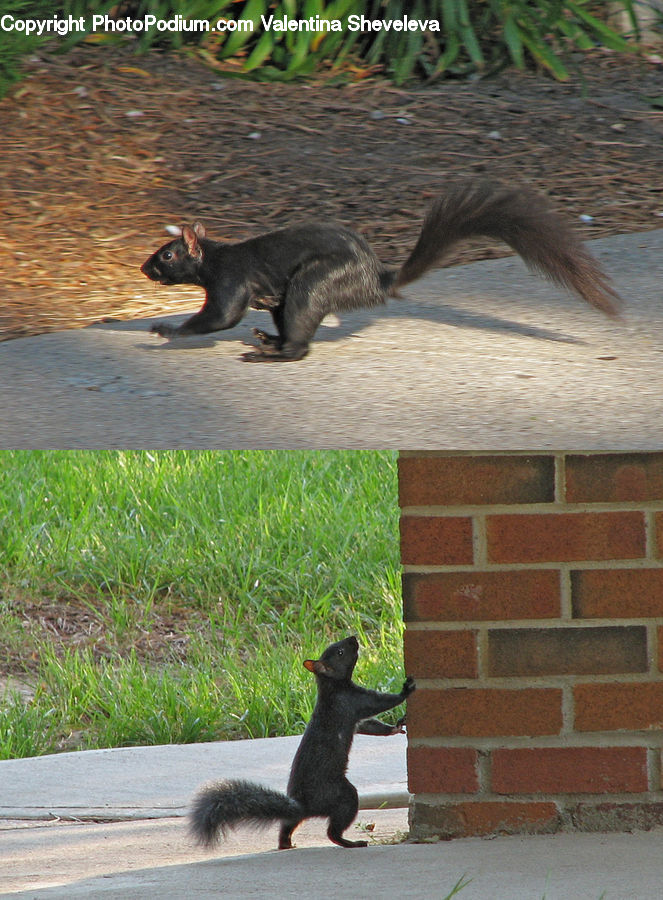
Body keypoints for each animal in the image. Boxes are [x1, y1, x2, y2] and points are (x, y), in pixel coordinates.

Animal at [141, 179, 622, 362]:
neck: (215, 257)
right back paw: (270, 339)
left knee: (301, 340)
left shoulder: (231, 280)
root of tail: (375, 279)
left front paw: (168, 330)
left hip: (316, 282)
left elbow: (221, 316)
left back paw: (275, 352)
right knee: (287, 321)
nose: (144, 268)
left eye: (167, 256)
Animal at [190, 635, 415, 850]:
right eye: (340, 652)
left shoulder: (356, 717)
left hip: (303, 815)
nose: (353, 638)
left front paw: (395, 728)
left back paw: (286, 843)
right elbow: (382, 702)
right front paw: (405, 690)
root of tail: (306, 805)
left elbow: (370, 726)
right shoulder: (354, 701)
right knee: (333, 830)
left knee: (289, 824)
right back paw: (350, 842)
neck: (332, 687)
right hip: (341, 794)